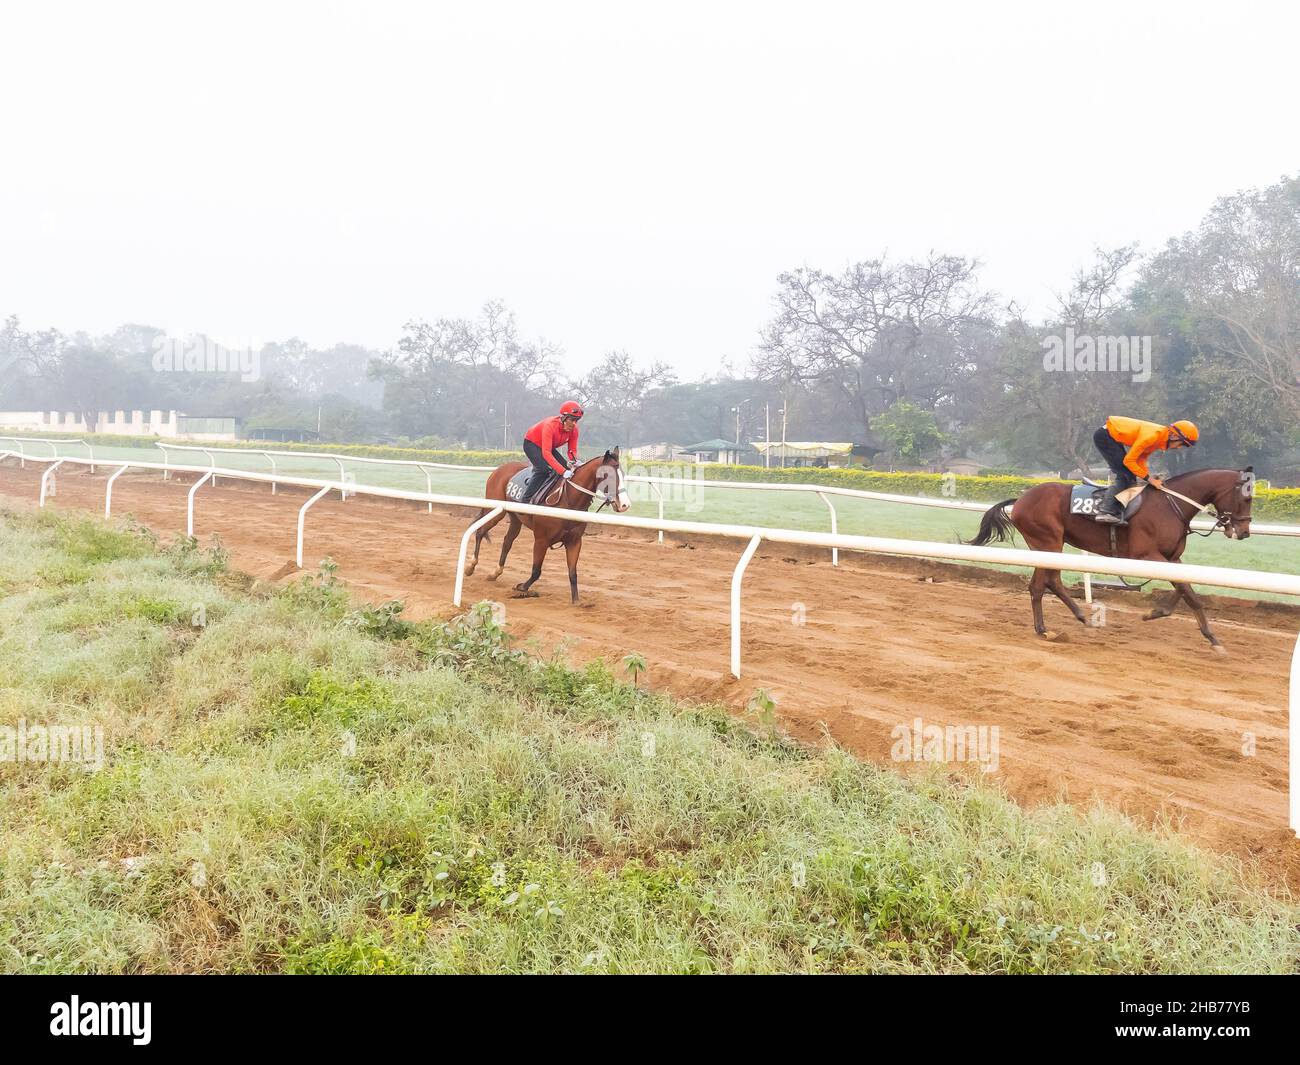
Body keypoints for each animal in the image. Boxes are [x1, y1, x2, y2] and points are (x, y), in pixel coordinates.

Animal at [465, 447, 631, 603]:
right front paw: (522, 587)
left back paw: (495, 572)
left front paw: (577, 601)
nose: (625, 505)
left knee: (507, 541)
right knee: (480, 532)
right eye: (609, 475)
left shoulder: (574, 541)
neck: (568, 500)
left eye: (622, 474)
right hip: (496, 511)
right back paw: (470, 566)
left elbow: (573, 573)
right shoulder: (541, 540)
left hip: (516, 518)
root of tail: (500, 469)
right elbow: (536, 571)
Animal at [967, 470, 1248, 652]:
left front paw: (1162, 615)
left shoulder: (1172, 558)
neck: (1170, 505)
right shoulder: (1147, 555)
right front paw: (1209, 635)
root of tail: (1021, 498)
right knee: (1040, 585)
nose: (1244, 532)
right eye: (1246, 498)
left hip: (1046, 546)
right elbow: (1185, 590)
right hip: (1047, 542)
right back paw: (1044, 629)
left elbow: (1187, 591)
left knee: (1050, 582)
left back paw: (1082, 618)